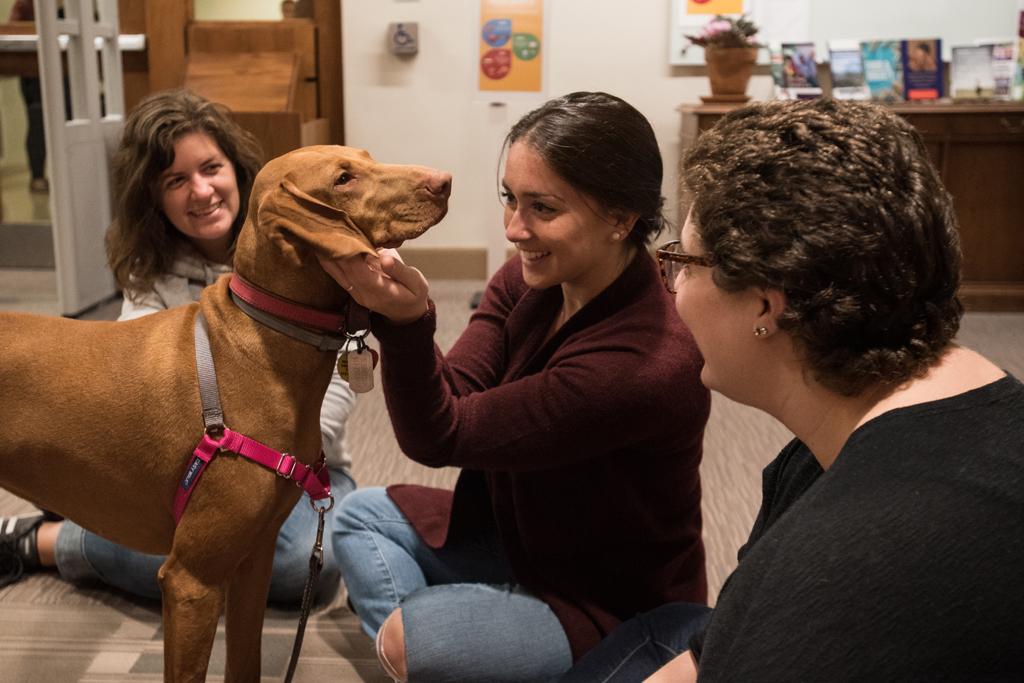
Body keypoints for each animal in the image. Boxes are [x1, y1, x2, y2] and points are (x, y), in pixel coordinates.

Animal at [0, 145, 452, 683]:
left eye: (365, 157)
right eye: (344, 179)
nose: (445, 181)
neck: (266, 340)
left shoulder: (254, 561)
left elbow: (245, 662)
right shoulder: (191, 581)